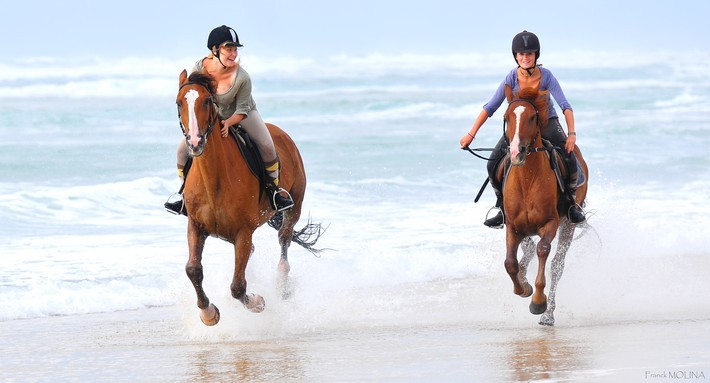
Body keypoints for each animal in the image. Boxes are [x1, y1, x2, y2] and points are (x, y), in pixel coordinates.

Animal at [177, 70, 324, 328]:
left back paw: (283, 284)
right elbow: (193, 269)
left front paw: (258, 302)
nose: (195, 142)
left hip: (293, 206)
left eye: (206, 101)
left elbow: (238, 286)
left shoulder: (243, 232)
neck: (214, 179)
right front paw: (208, 313)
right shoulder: (196, 225)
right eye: (178, 103)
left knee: (284, 239)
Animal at [500, 87, 588, 328]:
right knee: (527, 252)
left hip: (569, 224)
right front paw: (523, 288)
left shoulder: (550, 223)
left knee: (557, 264)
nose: (516, 152)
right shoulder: (513, 226)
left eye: (532, 117)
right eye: (506, 117)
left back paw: (548, 315)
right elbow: (510, 263)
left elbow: (543, 251)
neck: (527, 180)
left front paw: (538, 302)